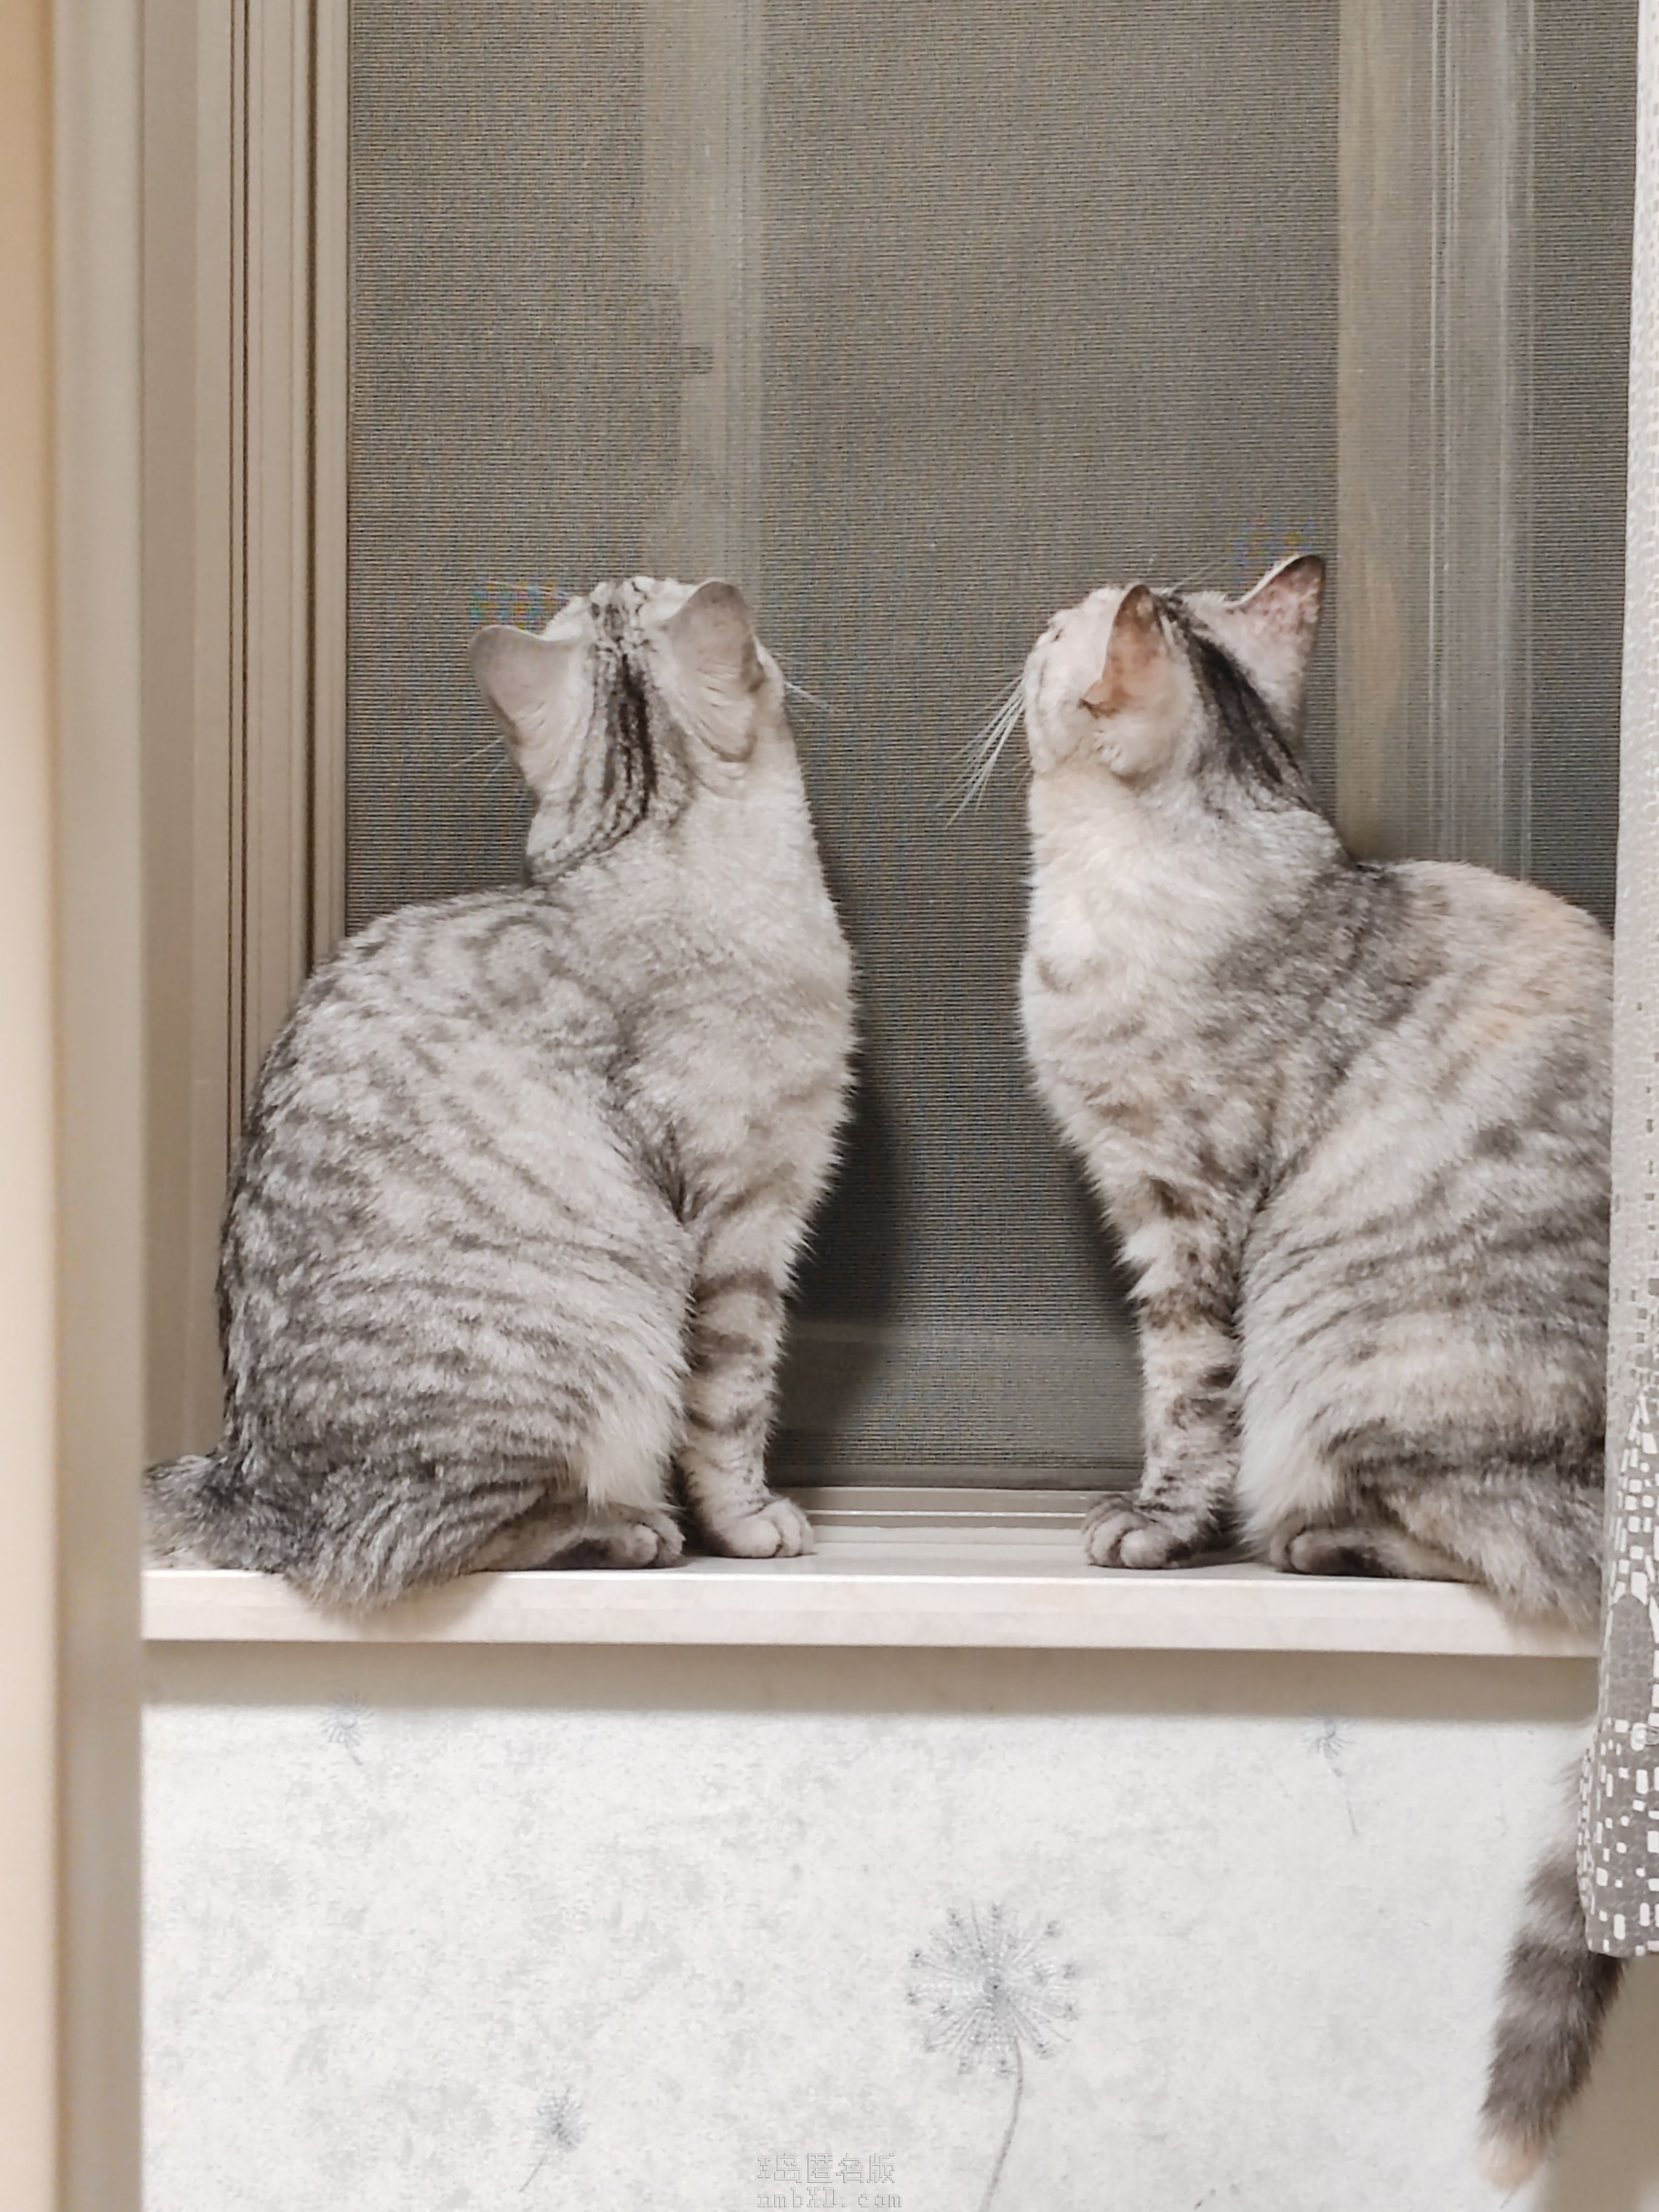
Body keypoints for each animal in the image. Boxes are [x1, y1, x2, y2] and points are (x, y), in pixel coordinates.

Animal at [146, 575, 853, 1602]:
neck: (640, 847)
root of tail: (246, 1492)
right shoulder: (745, 1224)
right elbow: (732, 1405)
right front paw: (751, 1522)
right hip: (598, 1342)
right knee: (435, 1543)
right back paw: (626, 1528)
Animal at [1016, 553, 1615, 2182]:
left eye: (1053, 636)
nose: (1031, 626)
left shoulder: (1182, 1210)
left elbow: (1182, 1401)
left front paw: (1153, 1531)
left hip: (1341, 1353)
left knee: (1464, 1537)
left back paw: (1313, 1545)